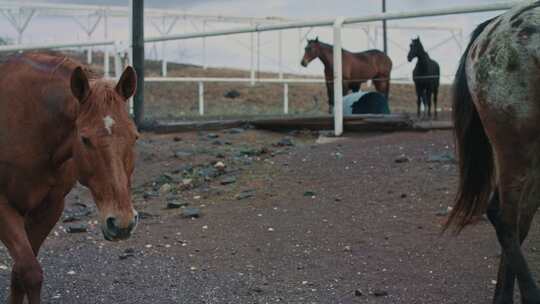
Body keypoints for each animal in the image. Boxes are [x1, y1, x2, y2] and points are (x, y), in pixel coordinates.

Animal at [0, 52, 139, 304]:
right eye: (84, 139)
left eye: (135, 136)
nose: (122, 223)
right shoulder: (3, 207)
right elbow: (30, 272)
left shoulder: (50, 208)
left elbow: (19, 273)